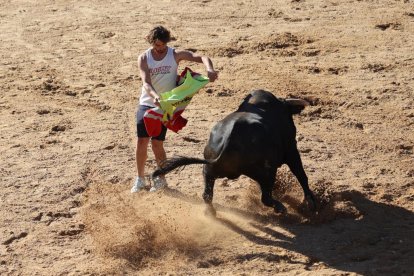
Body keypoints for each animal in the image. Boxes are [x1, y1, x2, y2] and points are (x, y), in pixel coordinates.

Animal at [153, 89, 316, 215]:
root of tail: (229, 140)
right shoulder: (292, 150)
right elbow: (301, 174)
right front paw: (310, 201)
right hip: (266, 171)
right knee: (266, 197)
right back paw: (281, 208)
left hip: (209, 170)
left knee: (207, 195)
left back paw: (210, 213)